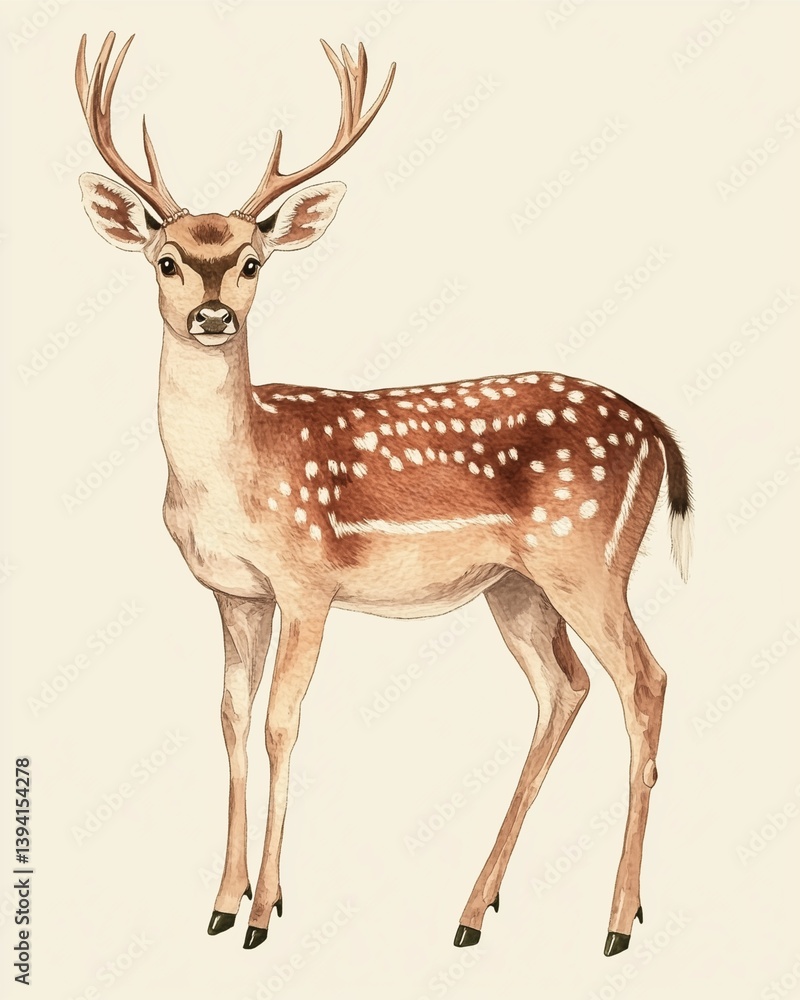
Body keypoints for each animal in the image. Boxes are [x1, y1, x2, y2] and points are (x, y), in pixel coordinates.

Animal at [75, 31, 693, 954]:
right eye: (168, 260)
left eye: (252, 263)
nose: (214, 316)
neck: (235, 478)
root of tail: (655, 427)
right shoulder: (234, 593)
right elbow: (227, 718)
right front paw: (221, 903)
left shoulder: (307, 581)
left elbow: (281, 723)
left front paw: (264, 912)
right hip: (517, 587)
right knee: (566, 689)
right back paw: (475, 911)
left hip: (587, 557)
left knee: (644, 681)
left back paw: (618, 923)